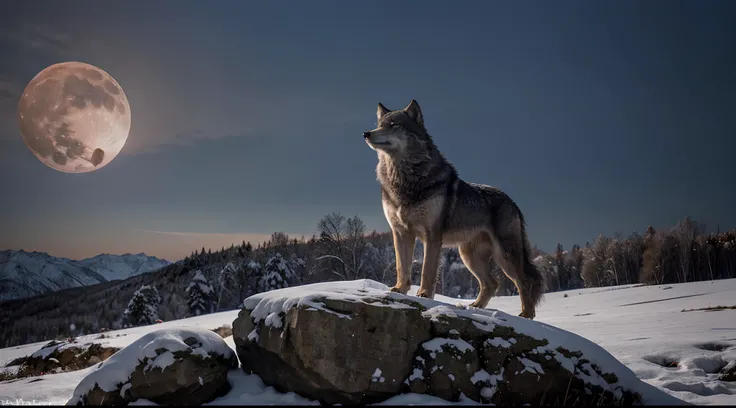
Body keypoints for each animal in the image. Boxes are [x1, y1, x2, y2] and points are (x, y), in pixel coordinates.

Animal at [362, 100, 548, 320]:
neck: (404, 179)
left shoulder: (432, 235)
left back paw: (525, 316)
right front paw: (399, 289)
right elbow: (402, 266)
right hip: (469, 256)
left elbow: (427, 270)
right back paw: (476, 306)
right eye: (379, 125)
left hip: (504, 255)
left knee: (524, 282)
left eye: (393, 125)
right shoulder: (400, 233)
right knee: (492, 283)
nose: (366, 133)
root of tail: (513, 203)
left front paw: (424, 294)